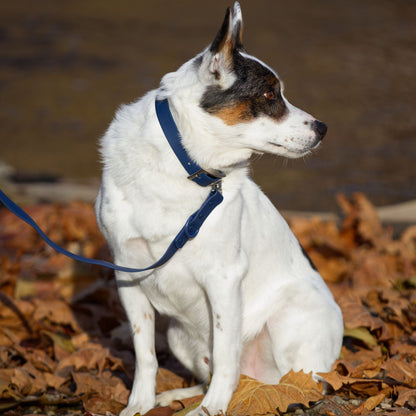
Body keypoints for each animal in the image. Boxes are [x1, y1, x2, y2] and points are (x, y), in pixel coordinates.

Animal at [96, 3, 342, 416]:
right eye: (269, 93)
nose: (323, 128)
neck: (186, 166)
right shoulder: (128, 274)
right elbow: (145, 355)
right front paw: (139, 404)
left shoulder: (224, 280)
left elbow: (227, 357)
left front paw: (212, 410)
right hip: (180, 336)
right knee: (216, 373)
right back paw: (177, 396)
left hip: (287, 324)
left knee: (293, 382)